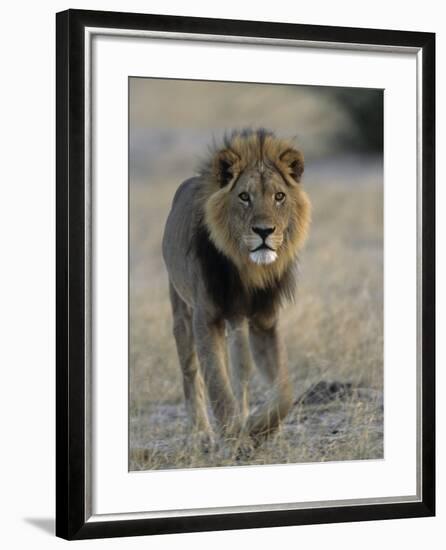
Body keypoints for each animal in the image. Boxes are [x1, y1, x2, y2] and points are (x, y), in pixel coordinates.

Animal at [162, 130, 312, 452]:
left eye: (279, 196)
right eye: (244, 196)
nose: (264, 231)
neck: (248, 270)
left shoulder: (264, 322)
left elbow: (285, 392)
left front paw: (256, 428)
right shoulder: (206, 318)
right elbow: (217, 385)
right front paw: (234, 436)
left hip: (238, 323)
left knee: (241, 372)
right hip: (182, 311)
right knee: (191, 372)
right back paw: (202, 434)